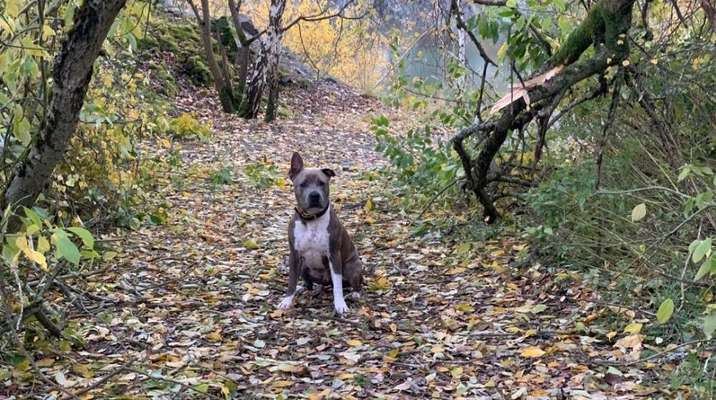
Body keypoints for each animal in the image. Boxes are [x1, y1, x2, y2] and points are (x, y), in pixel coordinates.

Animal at [276, 152, 364, 312]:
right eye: (303, 184)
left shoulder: (334, 255)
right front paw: (287, 300)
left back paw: (355, 293)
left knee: (354, 283)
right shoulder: (294, 255)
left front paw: (340, 304)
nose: (314, 195)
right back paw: (303, 288)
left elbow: (338, 286)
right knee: (309, 284)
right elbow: (291, 280)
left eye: (322, 183)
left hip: (351, 266)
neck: (311, 219)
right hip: (304, 266)